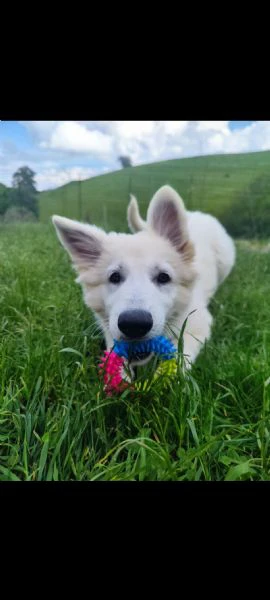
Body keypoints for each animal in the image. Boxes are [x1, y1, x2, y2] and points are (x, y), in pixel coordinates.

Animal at [52, 185, 234, 368]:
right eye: (114, 277)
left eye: (163, 277)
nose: (134, 324)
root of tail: (194, 214)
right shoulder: (109, 328)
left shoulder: (198, 325)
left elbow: (180, 359)